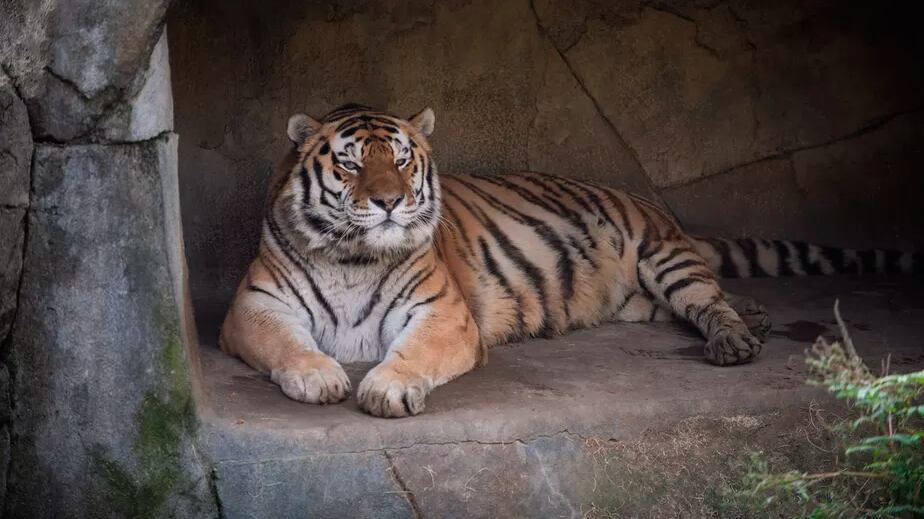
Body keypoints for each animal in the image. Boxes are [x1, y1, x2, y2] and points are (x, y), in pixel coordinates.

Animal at [219, 103, 921, 418]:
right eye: (349, 164)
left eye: (401, 159)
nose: (390, 202)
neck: (354, 256)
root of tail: (650, 203)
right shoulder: (254, 307)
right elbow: (288, 345)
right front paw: (320, 376)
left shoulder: (444, 314)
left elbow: (411, 354)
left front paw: (386, 387)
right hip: (641, 300)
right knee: (702, 303)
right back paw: (756, 319)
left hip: (664, 257)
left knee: (707, 300)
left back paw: (736, 341)